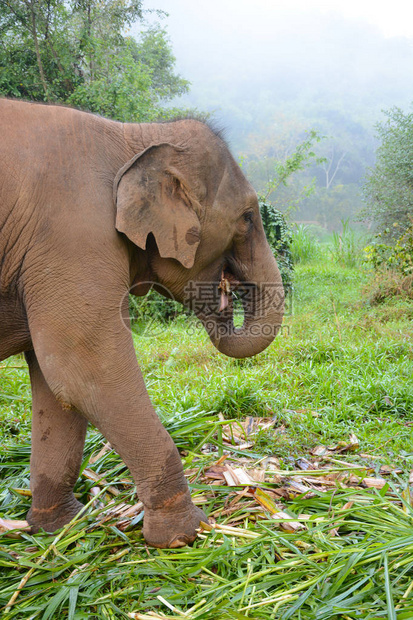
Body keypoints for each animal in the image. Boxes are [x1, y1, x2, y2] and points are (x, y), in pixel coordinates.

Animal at [0, 98, 284, 548]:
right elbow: (84, 370)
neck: (134, 135)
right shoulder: (73, 238)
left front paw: (61, 529)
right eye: (247, 218)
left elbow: (56, 385)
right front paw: (186, 535)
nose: (225, 299)